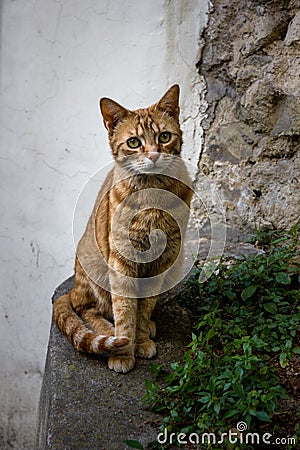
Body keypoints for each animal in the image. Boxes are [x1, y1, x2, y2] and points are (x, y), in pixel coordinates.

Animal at [53, 85, 192, 372]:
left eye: (164, 137)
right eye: (134, 143)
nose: (153, 155)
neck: (152, 199)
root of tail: (73, 290)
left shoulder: (163, 260)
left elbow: (143, 308)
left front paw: (140, 339)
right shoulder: (122, 261)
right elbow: (125, 310)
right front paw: (123, 352)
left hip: (177, 261)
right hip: (95, 270)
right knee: (88, 310)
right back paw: (110, 334)